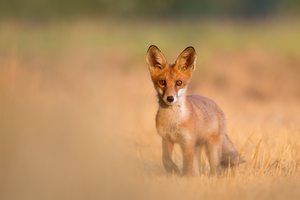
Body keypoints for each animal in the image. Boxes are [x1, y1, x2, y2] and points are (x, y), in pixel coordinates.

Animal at [146, 45, 245, 175]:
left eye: (179, 82)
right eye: (162, 82)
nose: (170, 98)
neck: (173, 123)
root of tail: (216, 105)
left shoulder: (187, 143)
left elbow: (187, 167)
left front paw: (184, 177)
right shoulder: (166, 139)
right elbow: (166, 160)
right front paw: (173, 170)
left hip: (212, 149)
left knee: (215, 169)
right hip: (198, 147)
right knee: (197, 168)